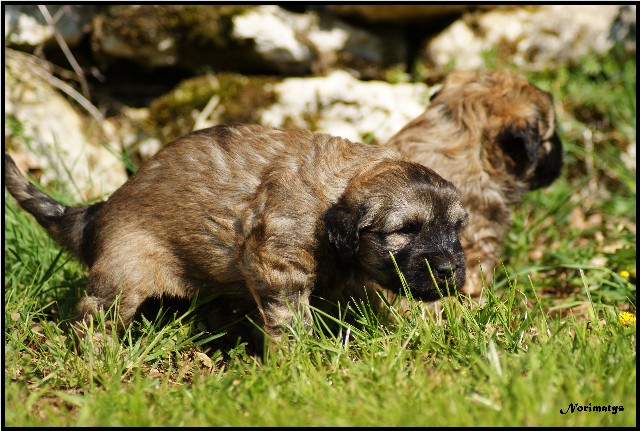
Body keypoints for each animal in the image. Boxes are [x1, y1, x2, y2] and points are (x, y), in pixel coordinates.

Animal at [2, 123, 468, 342]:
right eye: (405, 229)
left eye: (458, 228)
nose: (451, 270)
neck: (333, 192)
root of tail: (99, 212)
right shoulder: (277, 262)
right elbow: (291, 319)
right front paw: (298, 361)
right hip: (124, 271)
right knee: (94, 314)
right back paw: (100, 354)